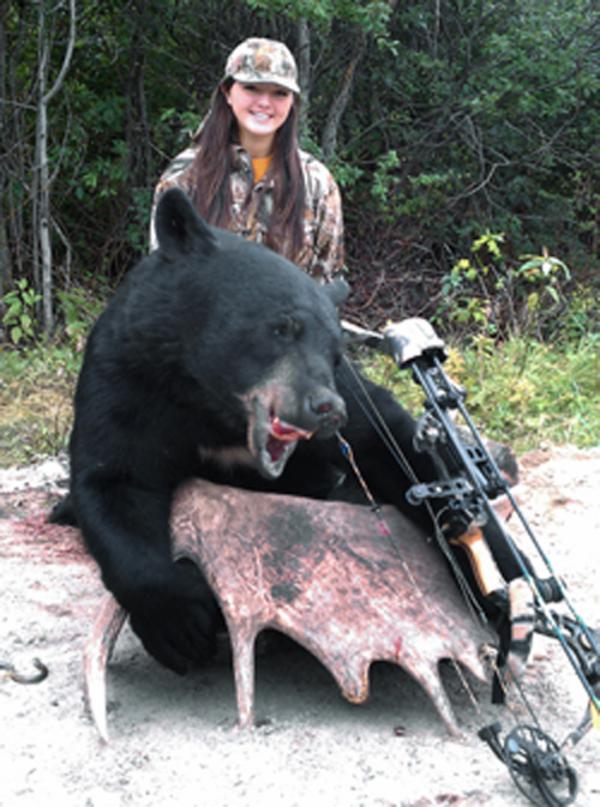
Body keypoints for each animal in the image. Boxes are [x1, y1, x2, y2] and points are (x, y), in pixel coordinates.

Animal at [52, 188, 523, 675]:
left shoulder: (351, 399)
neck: (214, 407)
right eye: (281, 326)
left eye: (335, 351)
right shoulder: (129, 377)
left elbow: (400, 452)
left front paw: (507, 582)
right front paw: (181, 625)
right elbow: (115, 478)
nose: (325, 408)